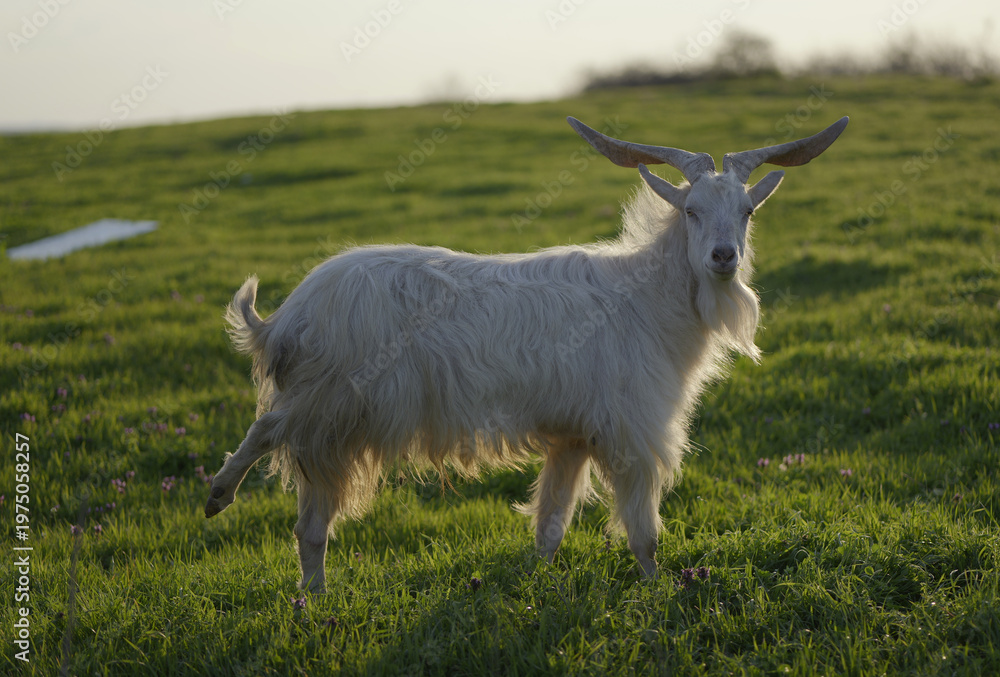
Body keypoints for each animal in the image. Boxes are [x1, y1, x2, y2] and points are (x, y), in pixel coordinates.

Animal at [205, 115, 848, 591]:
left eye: (747, 212)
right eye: (690, 211)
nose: (722, 258)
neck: (646, 298)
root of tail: (286, 318)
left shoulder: (573, 435)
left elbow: (551, 525)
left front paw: (535, 588)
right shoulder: (631, 430)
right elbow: (643, 532)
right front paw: (658, 592)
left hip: (332, 426)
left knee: (310, 525)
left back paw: (313, 600)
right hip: (333, 399)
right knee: (267, 429)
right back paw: (218, 495)